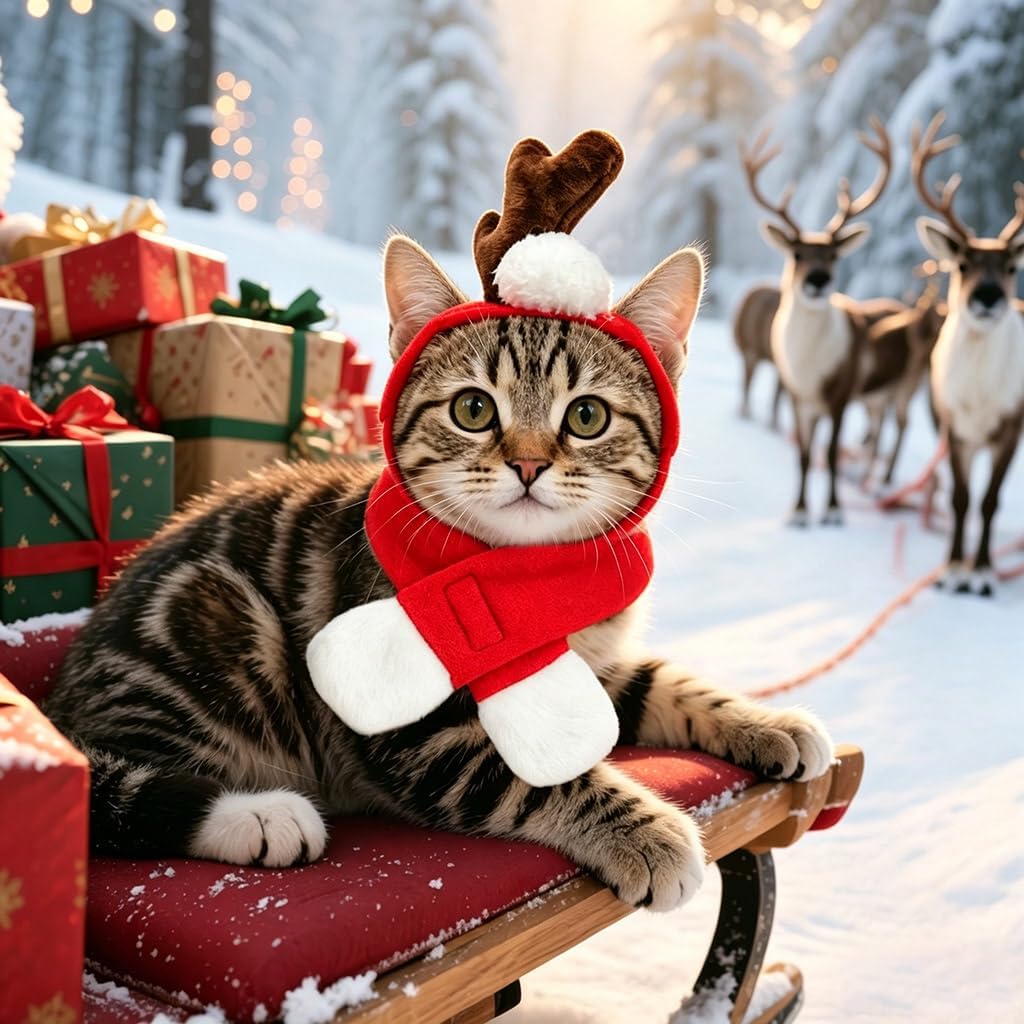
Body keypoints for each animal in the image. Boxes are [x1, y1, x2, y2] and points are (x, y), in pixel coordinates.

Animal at [742, 117, 900, 526]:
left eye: (833, 255)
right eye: (797, 253)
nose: (817, 280)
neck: (811, 365)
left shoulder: (841, 394)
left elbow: (827, 453)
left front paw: (831, 511)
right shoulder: (798, 396)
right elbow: (802, 453)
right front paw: (798, 511)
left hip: (902, 389)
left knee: (894, 431)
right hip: (875, 396)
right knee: (876, 432)